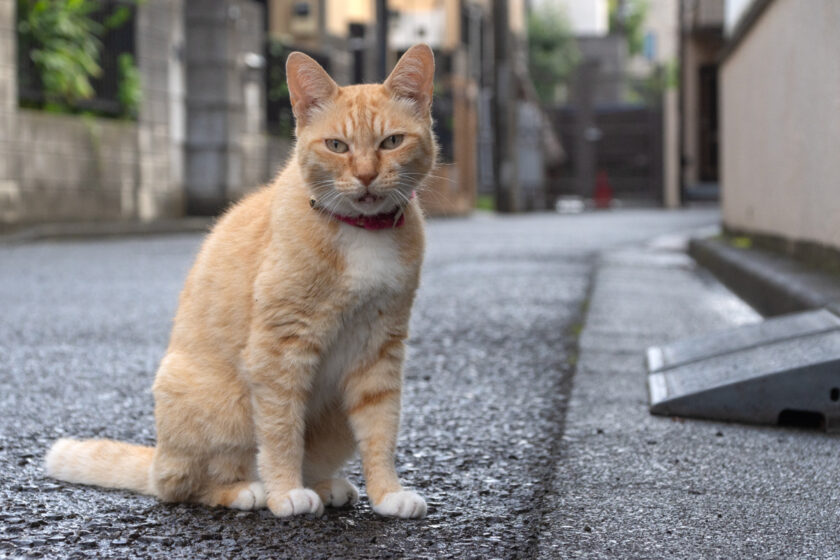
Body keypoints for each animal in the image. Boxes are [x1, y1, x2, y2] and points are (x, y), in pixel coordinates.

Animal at [46, 44, 436, 520]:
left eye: (392, 142)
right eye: (337, 146)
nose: (364, 176)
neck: (362, 232)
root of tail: (158, 458)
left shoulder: (381, 348)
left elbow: (381, 430)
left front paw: (387, 493)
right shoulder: (280, 348)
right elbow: (281, 429)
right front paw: (285, 492)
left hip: (335, 421)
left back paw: (323, 485)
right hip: (219, 408)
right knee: (181, 486)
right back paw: (249, 490)